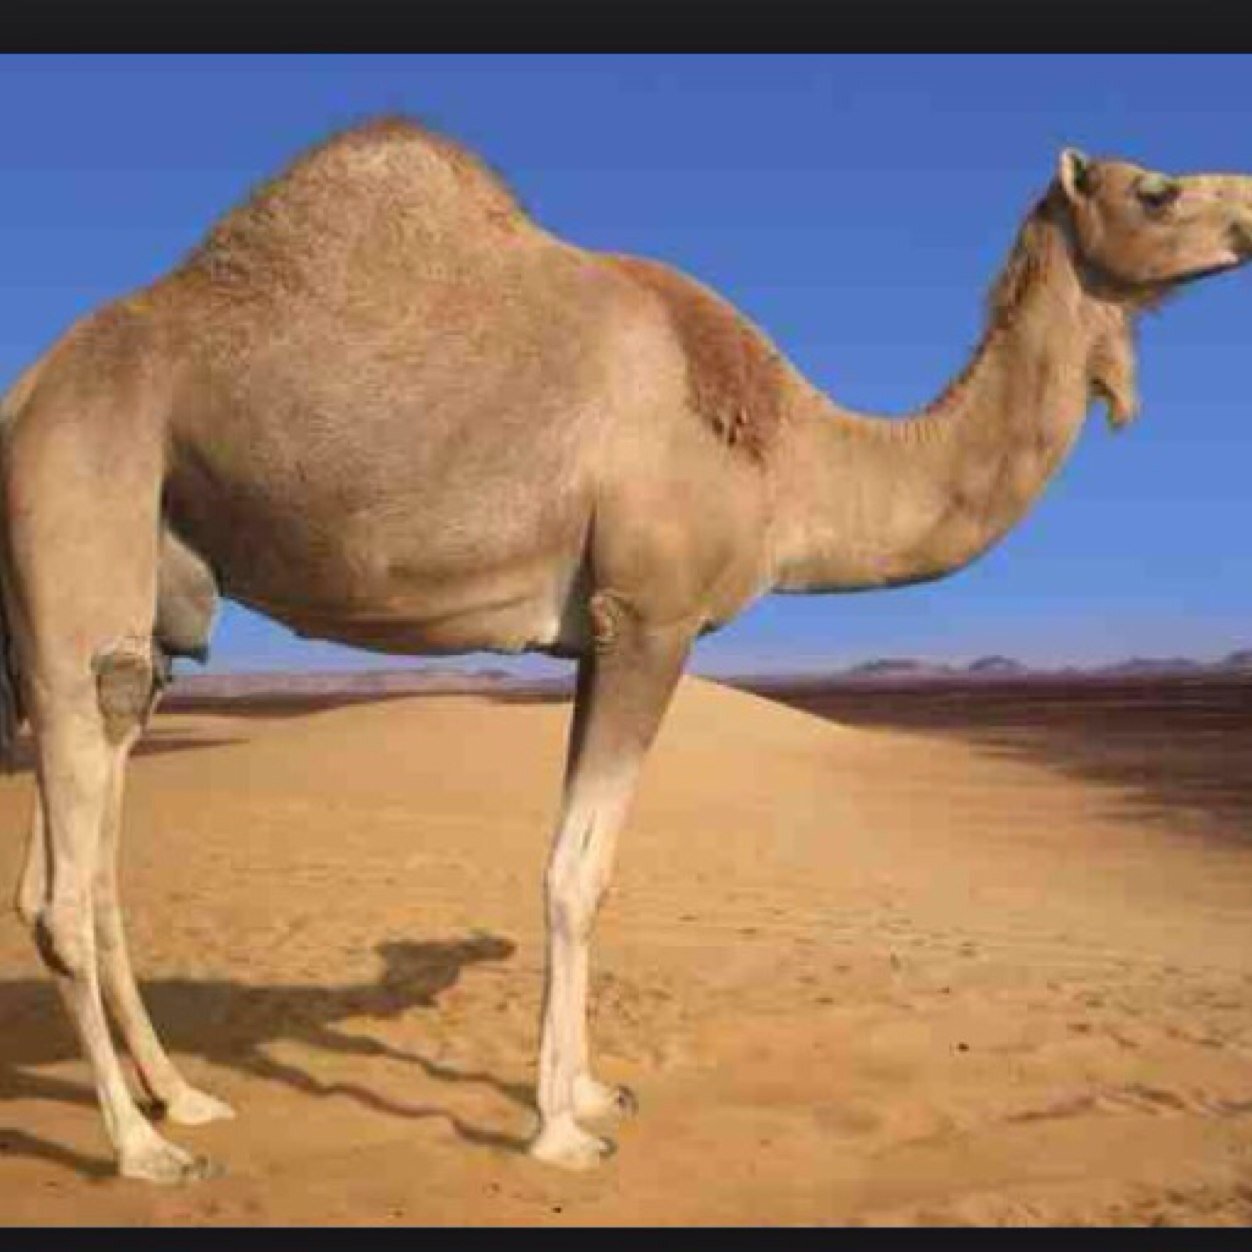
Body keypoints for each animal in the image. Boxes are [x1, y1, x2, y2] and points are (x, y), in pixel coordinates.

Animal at [0, 117, 1250, 1184]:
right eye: (1155, 187)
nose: (1244, 211)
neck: (794, 453)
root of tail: (26, 394)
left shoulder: (597, 632)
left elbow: (581, 863)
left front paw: (592, 1091)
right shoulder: (651, 615)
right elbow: (576, 872)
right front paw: (560, 1131)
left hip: (146, 622)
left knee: (92, 860)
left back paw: (186, 1099)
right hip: (78, 529)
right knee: (61, 889)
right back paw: (142, 1149)